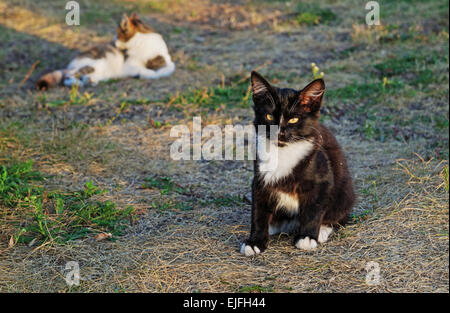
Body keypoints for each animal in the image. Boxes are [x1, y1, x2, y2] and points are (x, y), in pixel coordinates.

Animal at [37, 13, 175, 89]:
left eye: (117, 35)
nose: (113, 41)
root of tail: (71, 65)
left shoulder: (166, 60)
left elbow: (169, 68)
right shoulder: (130, 65)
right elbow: (148, 71)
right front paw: (146, 73)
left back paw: (90, 81)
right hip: (95, 64)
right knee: (68, 76)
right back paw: (80, 83)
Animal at [239, 71, 356, 256]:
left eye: (293, 119)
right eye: (269, 116)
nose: (279, 133)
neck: (284, 151)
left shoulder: (322, 179)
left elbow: (314, 209)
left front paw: (307, 237)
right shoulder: (260, 178)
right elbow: (258, 211)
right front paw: (255, 241)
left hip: (344, 193)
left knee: (339, 217)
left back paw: (322, 230)